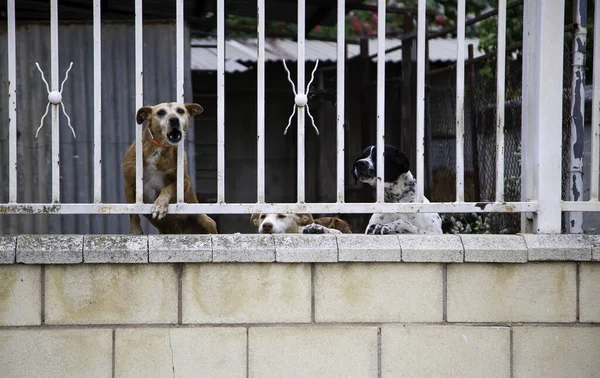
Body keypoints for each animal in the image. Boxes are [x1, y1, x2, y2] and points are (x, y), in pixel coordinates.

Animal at [121, 102, 216, 235]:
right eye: (161, 112)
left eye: (180, 111)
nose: (174, 119)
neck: (159, 150)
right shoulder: (129, 185)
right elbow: (133, 213)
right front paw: (135, 231)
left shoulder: (184, 181)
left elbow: (168, 188)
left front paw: (160, 205)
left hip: (207, 221)